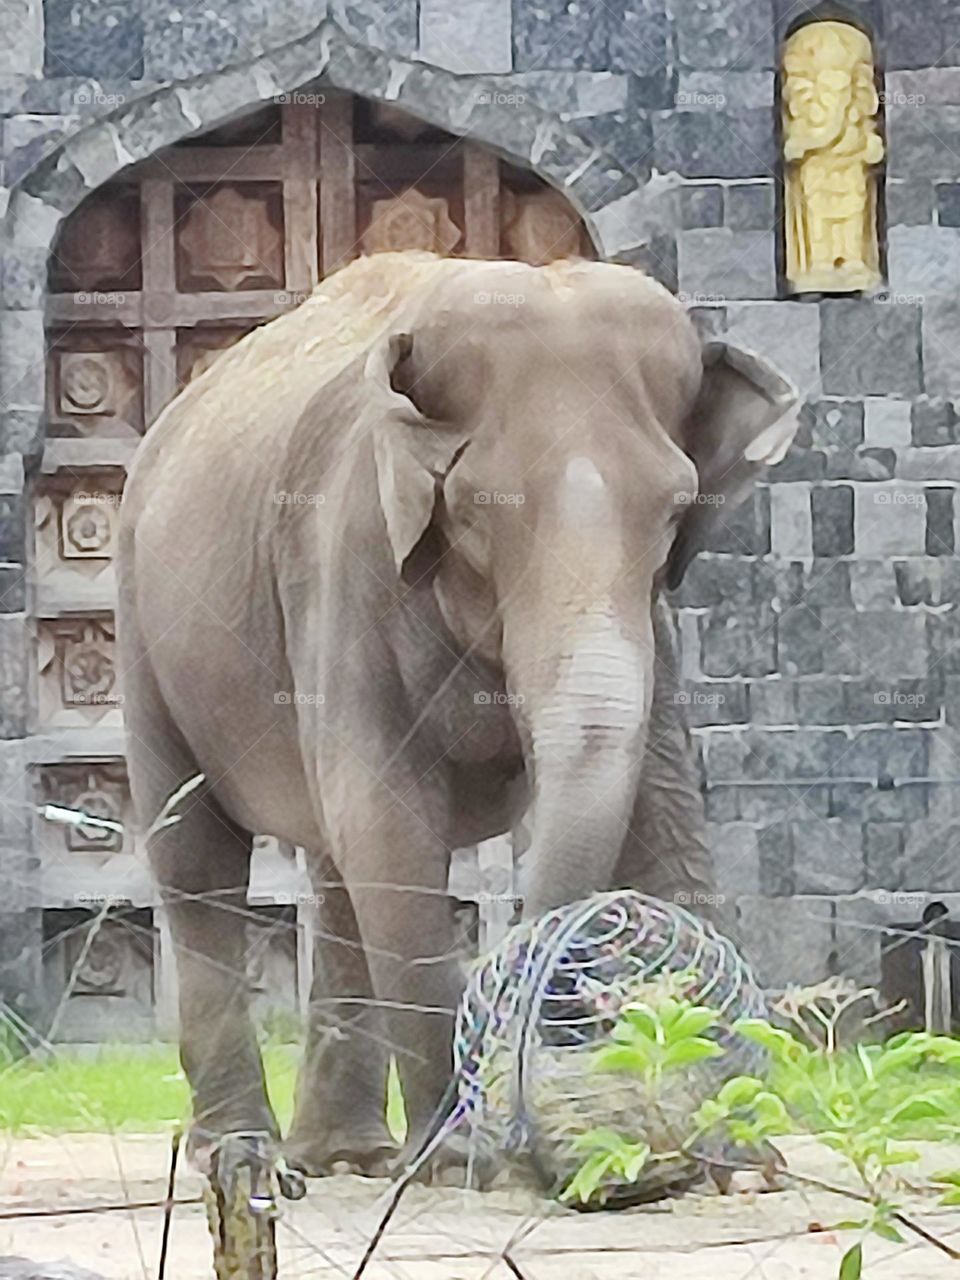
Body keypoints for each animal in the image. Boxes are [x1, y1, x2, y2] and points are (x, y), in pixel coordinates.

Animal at [116, 251, 799, 1179]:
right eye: (474, 510)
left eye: (672, 512)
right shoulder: (346, 558)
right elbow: (388, 820)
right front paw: (465, 1160)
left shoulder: (651, 622)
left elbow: (661, 803)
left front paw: (734, 1152)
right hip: (144, 630)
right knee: (197, 854)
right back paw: (246, 1155)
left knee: (335, 871)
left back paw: (348, 1158)